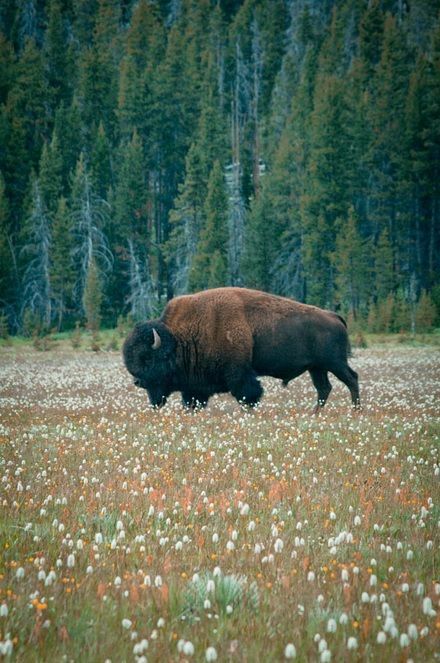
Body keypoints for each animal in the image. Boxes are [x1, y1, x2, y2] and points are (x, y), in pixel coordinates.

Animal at [123, 288, 360, 412]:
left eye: (148, 358)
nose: (137, 381)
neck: (180, 339)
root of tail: (334, 316)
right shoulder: (194, 387)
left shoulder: (239, 374)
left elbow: (248, 395)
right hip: (317, 368)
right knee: (324, 388)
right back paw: (314, 414)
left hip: (334, 363)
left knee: (351, 379)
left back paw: (355, 410)